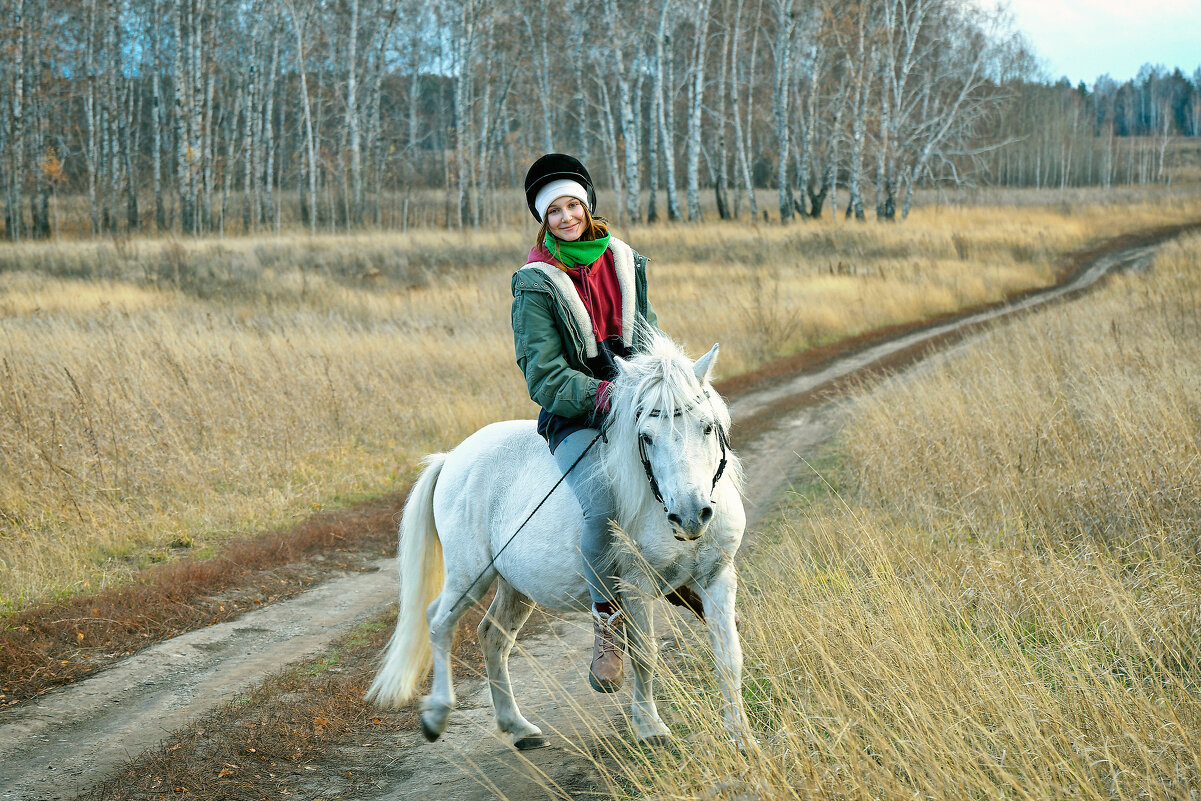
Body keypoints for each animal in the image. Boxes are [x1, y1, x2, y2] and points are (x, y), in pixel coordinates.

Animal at [362, 331, 749, 754]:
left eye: (707, 427)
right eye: (645, 436)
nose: (691, 514)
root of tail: (451, 458)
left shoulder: (717, 578)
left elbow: (729, 654)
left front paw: (740, 736)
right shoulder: (635, 585)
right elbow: (645, 654)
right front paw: (651, 729)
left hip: (514, 585)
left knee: (492, 636)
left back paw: (518, 727)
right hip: (469, 574)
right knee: (439, 622)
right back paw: (436, 716)